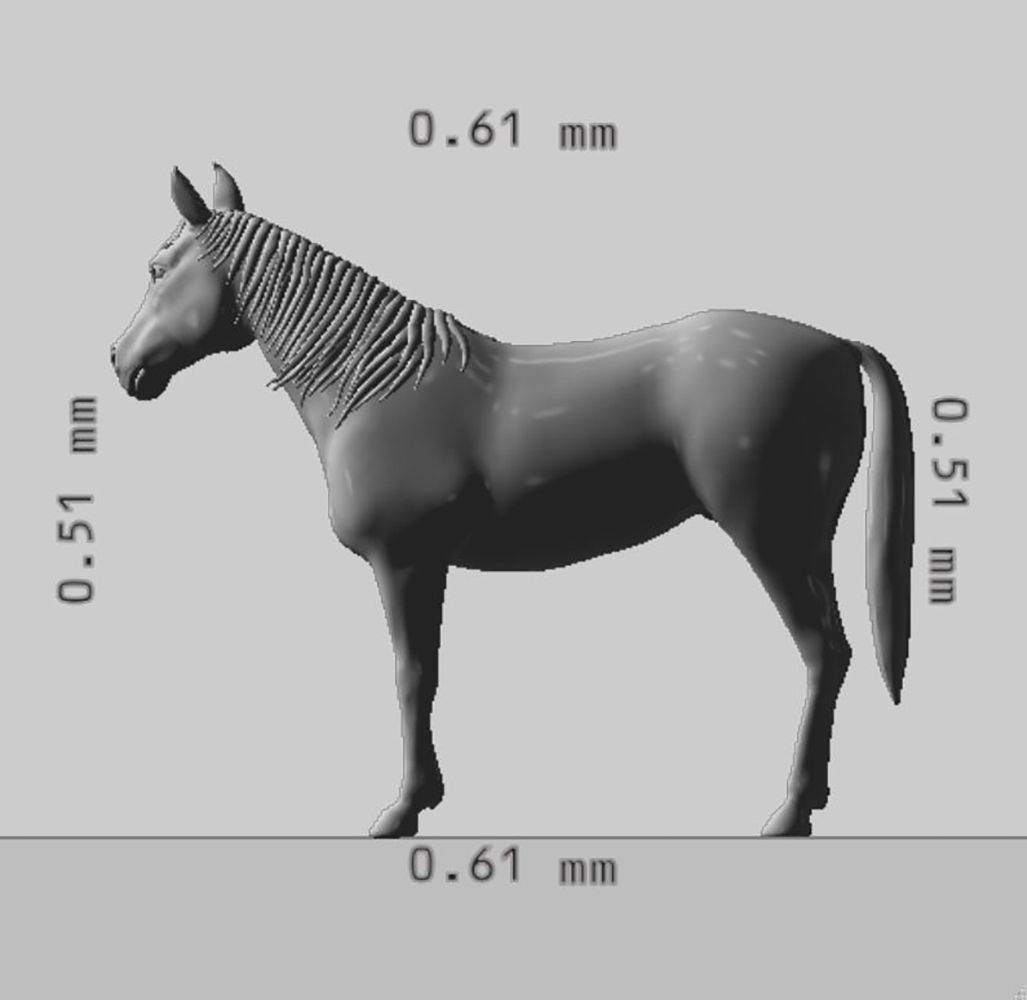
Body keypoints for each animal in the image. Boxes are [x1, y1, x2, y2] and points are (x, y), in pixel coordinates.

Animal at [111, 164, 914, 837]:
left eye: (156, 269)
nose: (121, 363)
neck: (373, 385)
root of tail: (835, 343)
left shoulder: (405, 562)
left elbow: (412, 677)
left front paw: (404, 809)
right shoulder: (421, 566)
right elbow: (425, 675)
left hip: (767, 535)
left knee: (818, 651)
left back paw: (788, 812)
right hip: (807, 540)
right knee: (835, 650)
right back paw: (812, 798)